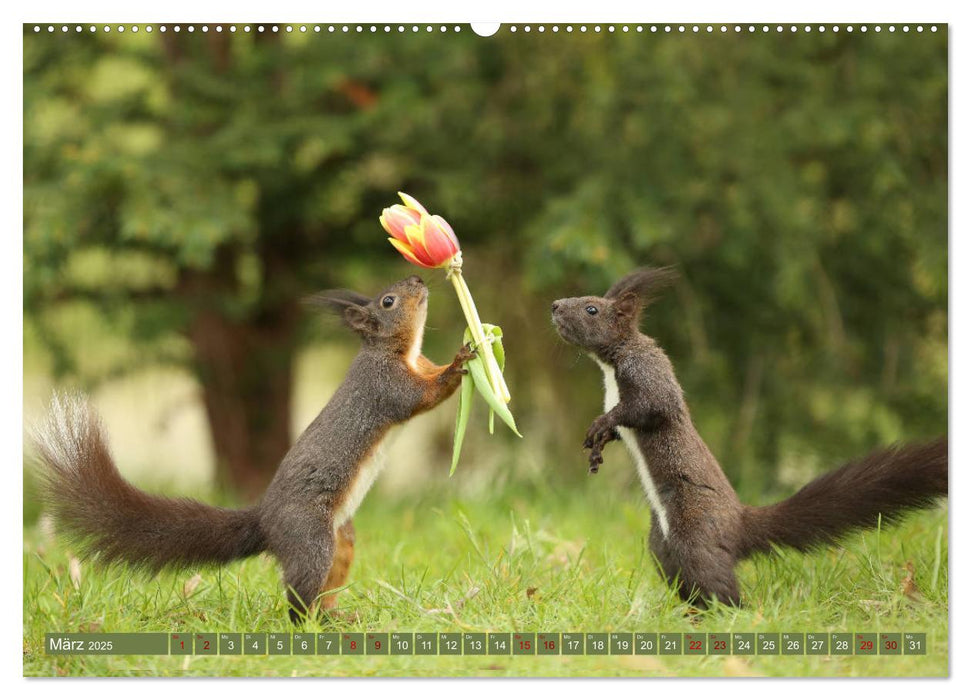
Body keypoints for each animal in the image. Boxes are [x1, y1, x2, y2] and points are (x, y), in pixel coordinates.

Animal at [36, 276, 476, 620]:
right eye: (388, 301)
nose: (418, 280)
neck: (400, 351)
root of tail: (265, 521)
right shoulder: (385, 386)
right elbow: (422, 397)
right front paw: (462, 361)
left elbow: (430, 378)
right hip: (311, 538)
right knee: (299, 595)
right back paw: (310, 623)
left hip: (341, 541)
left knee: (325, 586)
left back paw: (336, 617)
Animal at [556, 268, 948, 608]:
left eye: (591, 309)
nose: (555, 306)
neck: (610, 367)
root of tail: (738, 525)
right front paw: (599, 442)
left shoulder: (649, 374)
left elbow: (650, 406)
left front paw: (601, 424)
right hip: (662, 547)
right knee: (684, 579)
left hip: (694, 535)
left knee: (716, 584)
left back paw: (729, 614)